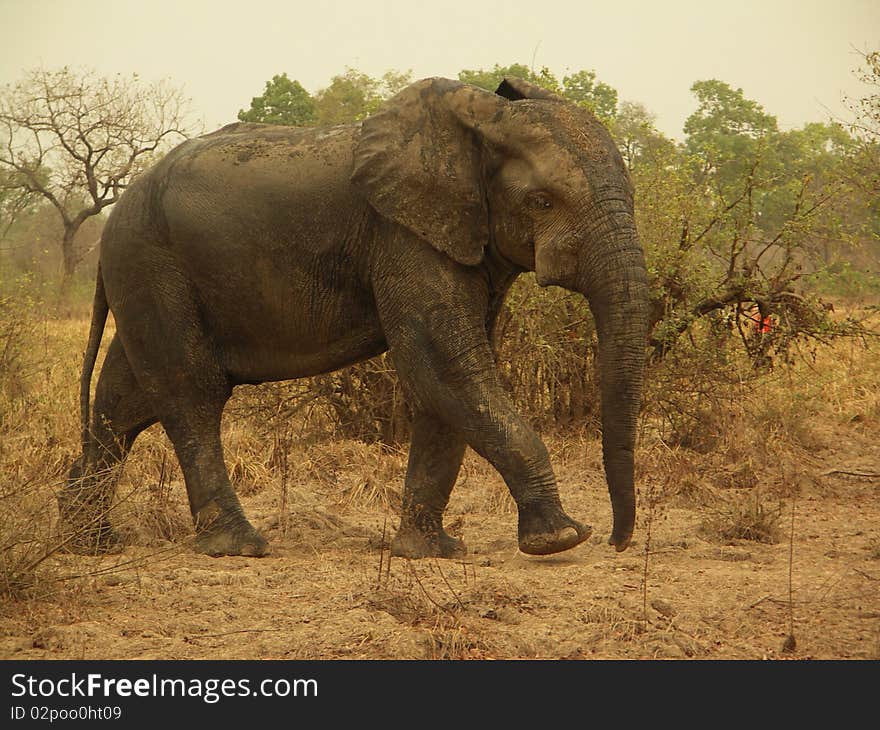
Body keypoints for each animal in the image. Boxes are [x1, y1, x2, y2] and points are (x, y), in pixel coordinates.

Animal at [60, 75, 648, 556]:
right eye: (542, 202)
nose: (617, 542)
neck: (477, 121)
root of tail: (115, 218)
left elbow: (449, 378)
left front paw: (429, 553)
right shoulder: (403, 236)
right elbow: (445, 366)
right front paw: (561, 538)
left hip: (146, 272)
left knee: (123, 402)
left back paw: (89, 542)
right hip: (151, 263)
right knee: (192, 391)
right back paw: (239, 546)